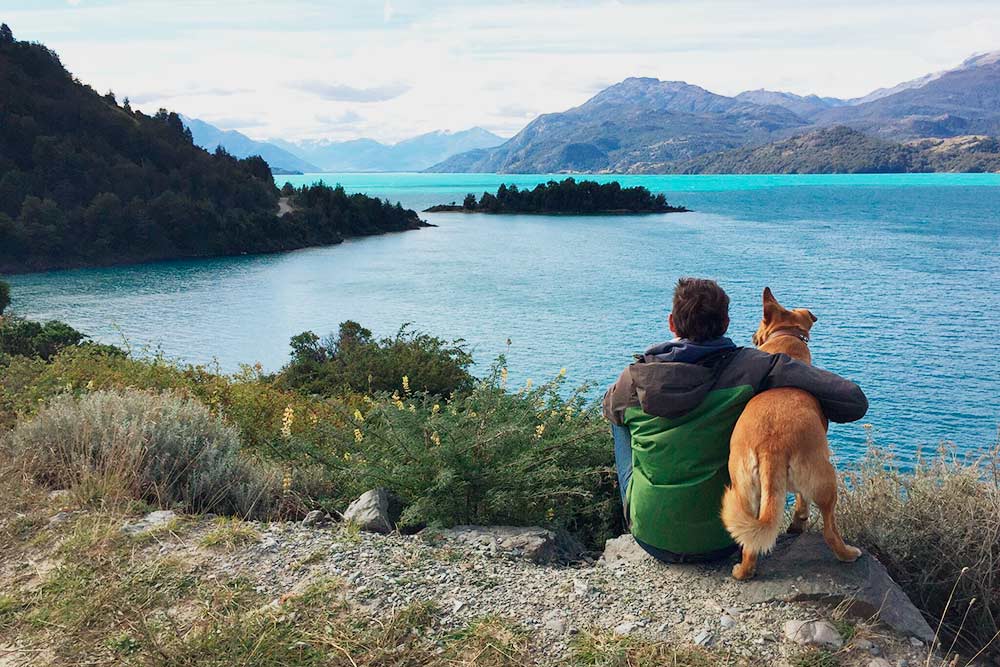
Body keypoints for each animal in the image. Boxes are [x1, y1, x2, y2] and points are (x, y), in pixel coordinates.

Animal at [720, 288, 860, 580]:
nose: (752, 336)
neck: (786, 342)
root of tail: (770, 446)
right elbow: (801, 502)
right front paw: (799, 520)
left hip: (744, 491)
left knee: (749, 542)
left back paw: (743, 571)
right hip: (826, 479)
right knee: (829, 530)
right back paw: (846, 554)